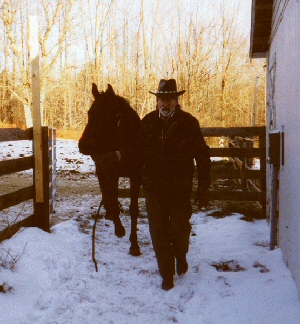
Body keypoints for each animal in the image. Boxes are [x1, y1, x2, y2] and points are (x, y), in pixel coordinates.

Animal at [78, 83, 142, 256]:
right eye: (89, 113)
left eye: (105, 114)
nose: (83, 145)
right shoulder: (111, 173)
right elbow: (112, 198)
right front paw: (119, 229)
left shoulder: (136, 176)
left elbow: (134, 209)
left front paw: (134, 244)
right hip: (101, 170)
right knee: (106, 193)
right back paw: (109, 215)